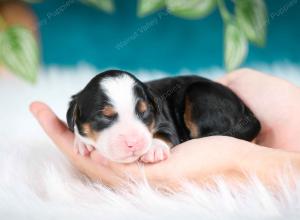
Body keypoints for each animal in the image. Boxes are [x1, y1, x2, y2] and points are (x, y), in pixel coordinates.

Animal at [66, 70, 260, 163]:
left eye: (144, 112)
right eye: (105, 116)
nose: (133, 143)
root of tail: (246, 110)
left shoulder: (167, 122)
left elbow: (164, 134)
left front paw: (154, 148)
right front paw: (82, 143)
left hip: (200, 93)